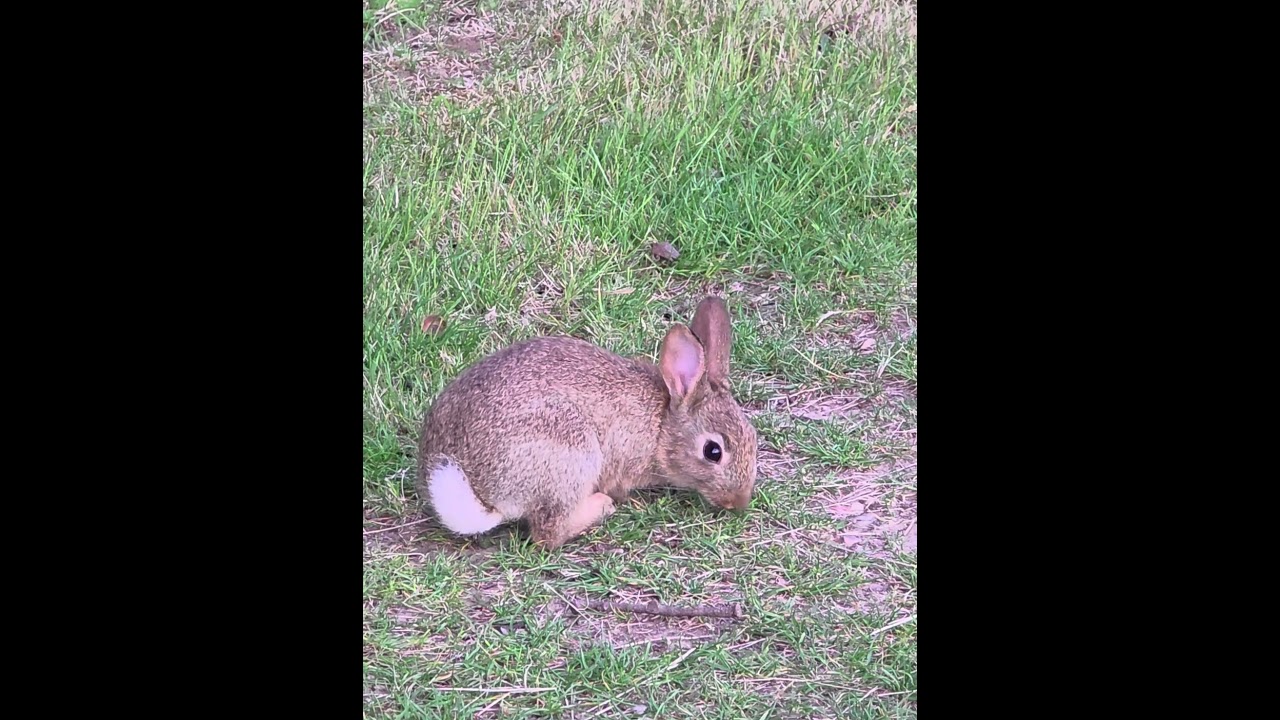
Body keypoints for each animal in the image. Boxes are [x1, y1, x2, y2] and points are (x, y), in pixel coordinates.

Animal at [415, 296, 758, 549]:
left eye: (754, 438)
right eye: (713, 452)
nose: (739, 502)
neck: (662, 424)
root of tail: (481, 494)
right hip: (570, 452)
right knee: (547, 533)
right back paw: (601, 505)